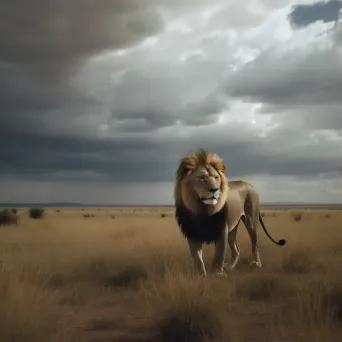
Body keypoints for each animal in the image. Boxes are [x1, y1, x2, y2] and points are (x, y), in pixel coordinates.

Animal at [174, 150, 286, 278]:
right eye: (201, 178)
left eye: (216, 177)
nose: (215, 190)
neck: (202, 209)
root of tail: (251, 186)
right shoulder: (192, 232)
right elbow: (197, 258)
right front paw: (201, 275)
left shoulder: (222, 229)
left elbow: (219, 254)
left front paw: (217, 274)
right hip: (233, 226)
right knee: (236, 250)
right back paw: (229, 267)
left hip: (250, 221)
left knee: (255, 244)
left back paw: (256, 264)